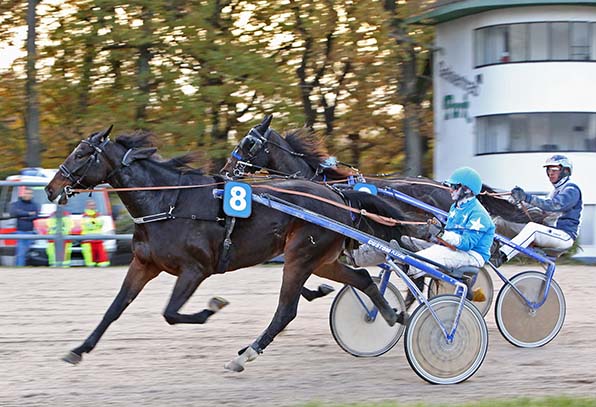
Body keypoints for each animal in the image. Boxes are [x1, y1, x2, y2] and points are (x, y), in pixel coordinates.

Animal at [49, 127, 408, 372]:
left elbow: (171, 313)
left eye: (82, 153)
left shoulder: (195, 270)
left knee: (286, 311)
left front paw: (213, 307)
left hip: (300, 257)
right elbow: (114, 309)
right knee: (363, 279)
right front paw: (78, 350)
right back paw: (393, 315)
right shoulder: (144, 264)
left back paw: (247, 353)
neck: (167, 202)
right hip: (321, 259)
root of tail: (338, 195)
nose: (51, 188)